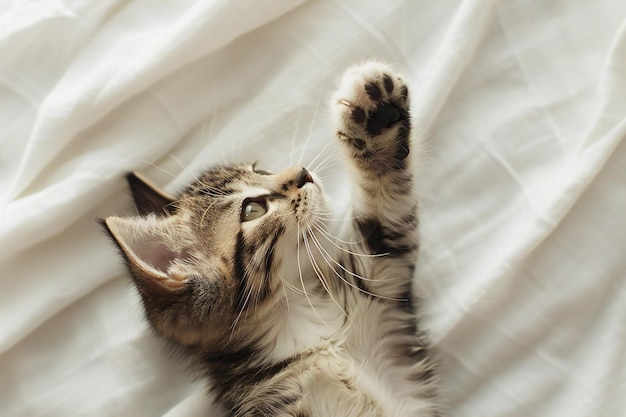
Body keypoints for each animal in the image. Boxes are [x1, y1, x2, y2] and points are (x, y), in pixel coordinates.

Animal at [101, 62, 434, 416]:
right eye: (252, 209)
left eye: (259, 169)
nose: (303, 173)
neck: (305, 327)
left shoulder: (380, 281)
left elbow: (388, 204)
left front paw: (374, 110)